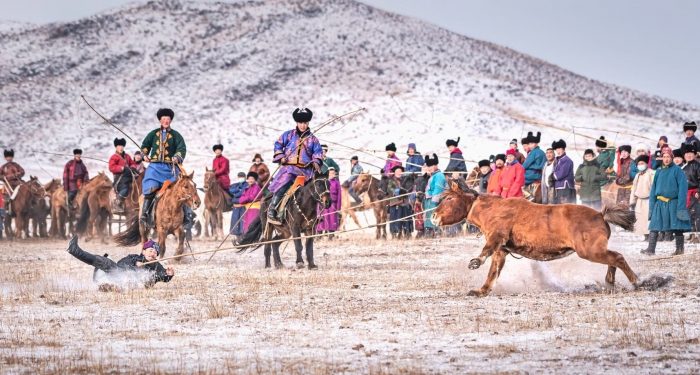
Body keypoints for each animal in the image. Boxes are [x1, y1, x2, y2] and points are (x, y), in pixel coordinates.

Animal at [432, 184, 640, 298]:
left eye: (449, 198)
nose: (433, 216)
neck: (492, 209)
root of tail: (600, 215)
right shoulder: (502, 251)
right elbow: (493, 272)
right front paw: (481, 291)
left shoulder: (496, 238)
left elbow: (486, 252)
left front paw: (476, 261)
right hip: (595, 250)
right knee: (613, 259)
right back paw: (610, 282)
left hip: (590, 251)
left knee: (617, 258)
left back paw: (637, 282)